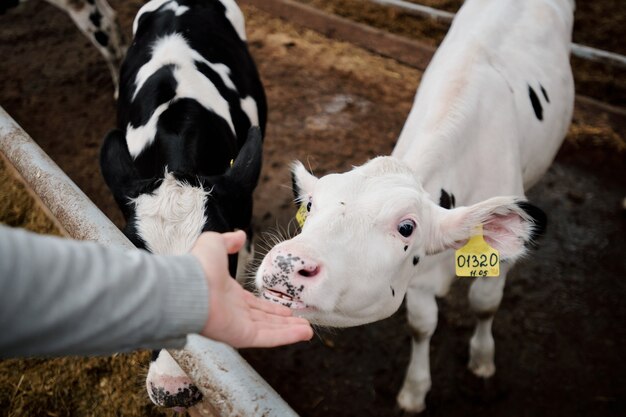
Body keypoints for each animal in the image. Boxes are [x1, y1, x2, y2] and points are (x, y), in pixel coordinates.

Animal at [256, 0, 572, 412]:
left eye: (407, 227)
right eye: (310, 205)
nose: (285, 264)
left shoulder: (499, 261)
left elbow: (484, 304)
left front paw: (482, 359)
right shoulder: (417, 280)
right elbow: (422, 327)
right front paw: (415, 390)